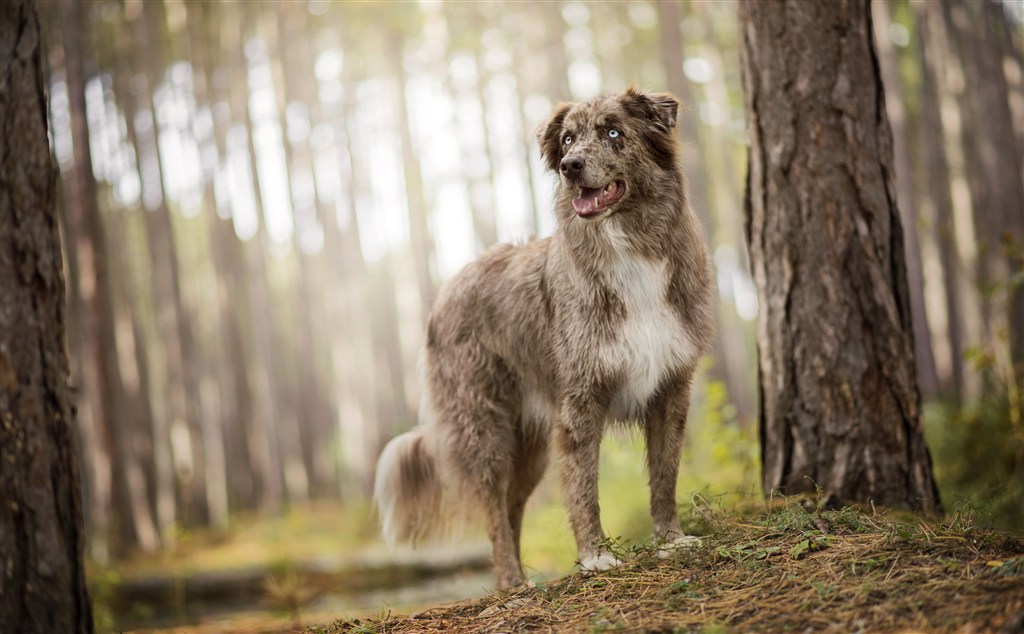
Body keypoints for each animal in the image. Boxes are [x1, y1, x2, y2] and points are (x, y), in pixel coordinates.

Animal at [372, 87, 716, 585]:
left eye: (614, 132)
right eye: (568, 138)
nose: (571, 165)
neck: (627, 247)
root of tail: (447, 289)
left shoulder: (671, 389)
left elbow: (665, 474)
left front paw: (671, 540)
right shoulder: (580, 401)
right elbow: (583, 485)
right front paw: (595, 556)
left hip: (529, 445)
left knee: (512, 506)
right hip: (485, 431)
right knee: (493, 510)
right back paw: (511, 583)